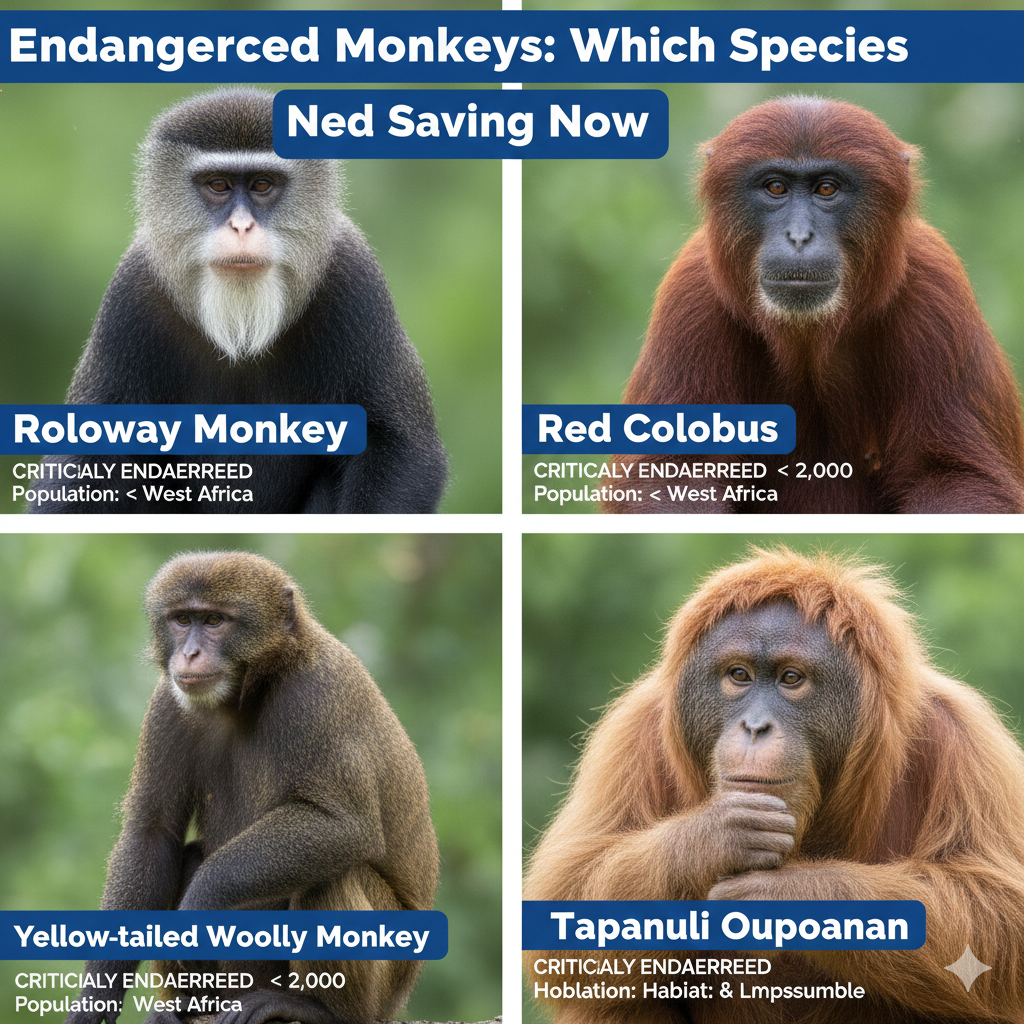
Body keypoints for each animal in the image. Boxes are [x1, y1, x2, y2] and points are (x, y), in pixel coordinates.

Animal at [30, 88, 448, 515]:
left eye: (262, 185)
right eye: (218, 185)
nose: (242, 226)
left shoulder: (356, 282)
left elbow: (399, 448)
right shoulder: (129, 296)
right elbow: (86, 460)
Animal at [63, 551, 439, 1024]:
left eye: (214, 620)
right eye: (182, 619)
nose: (189, 653)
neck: (250, 691)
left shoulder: (315, 693)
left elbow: (342, 825)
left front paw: (201, 907)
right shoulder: (167, 702)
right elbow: (152, 834)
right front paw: (96, 1001)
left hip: (388, 978)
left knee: (330, 876)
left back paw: (314, 1008)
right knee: (188, 855)